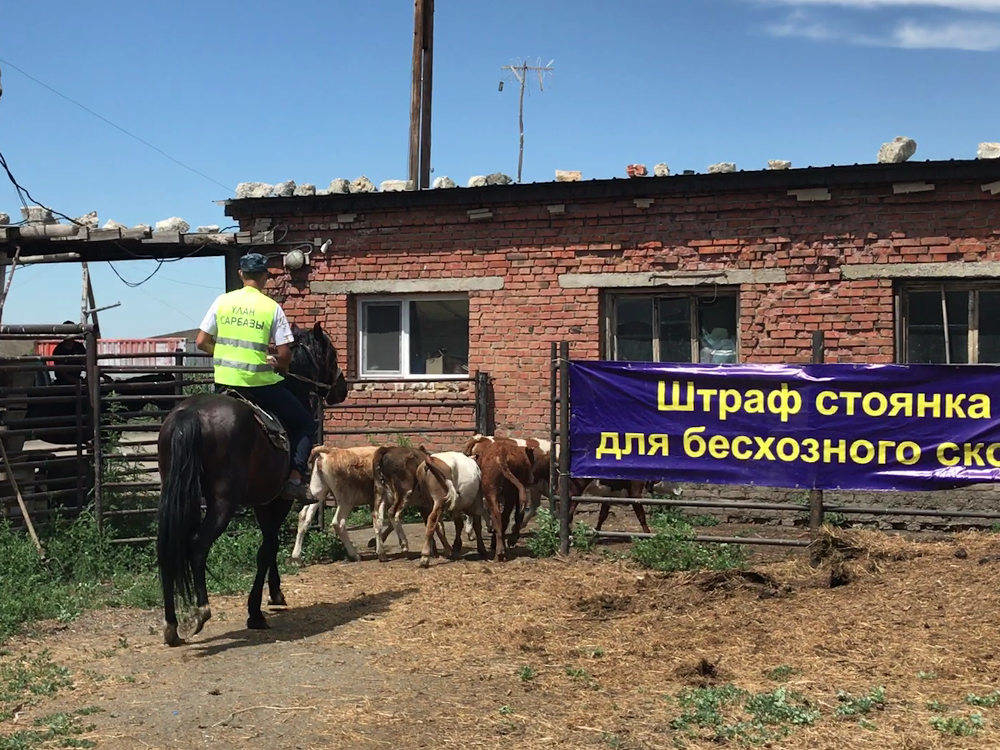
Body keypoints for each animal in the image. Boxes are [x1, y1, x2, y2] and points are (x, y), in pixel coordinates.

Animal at [154, 322, 346, 648]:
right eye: (331, 354)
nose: (342, 387)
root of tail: (189, 414)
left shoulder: (262, 501)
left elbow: (269, 545)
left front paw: (275, 594)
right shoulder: (278, 500)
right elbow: (267, 549)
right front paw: (256, 611)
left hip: (177, 496)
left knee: (170, 548)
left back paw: (172, 626)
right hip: (221, 504)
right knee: (197, 547)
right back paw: (200, 613)